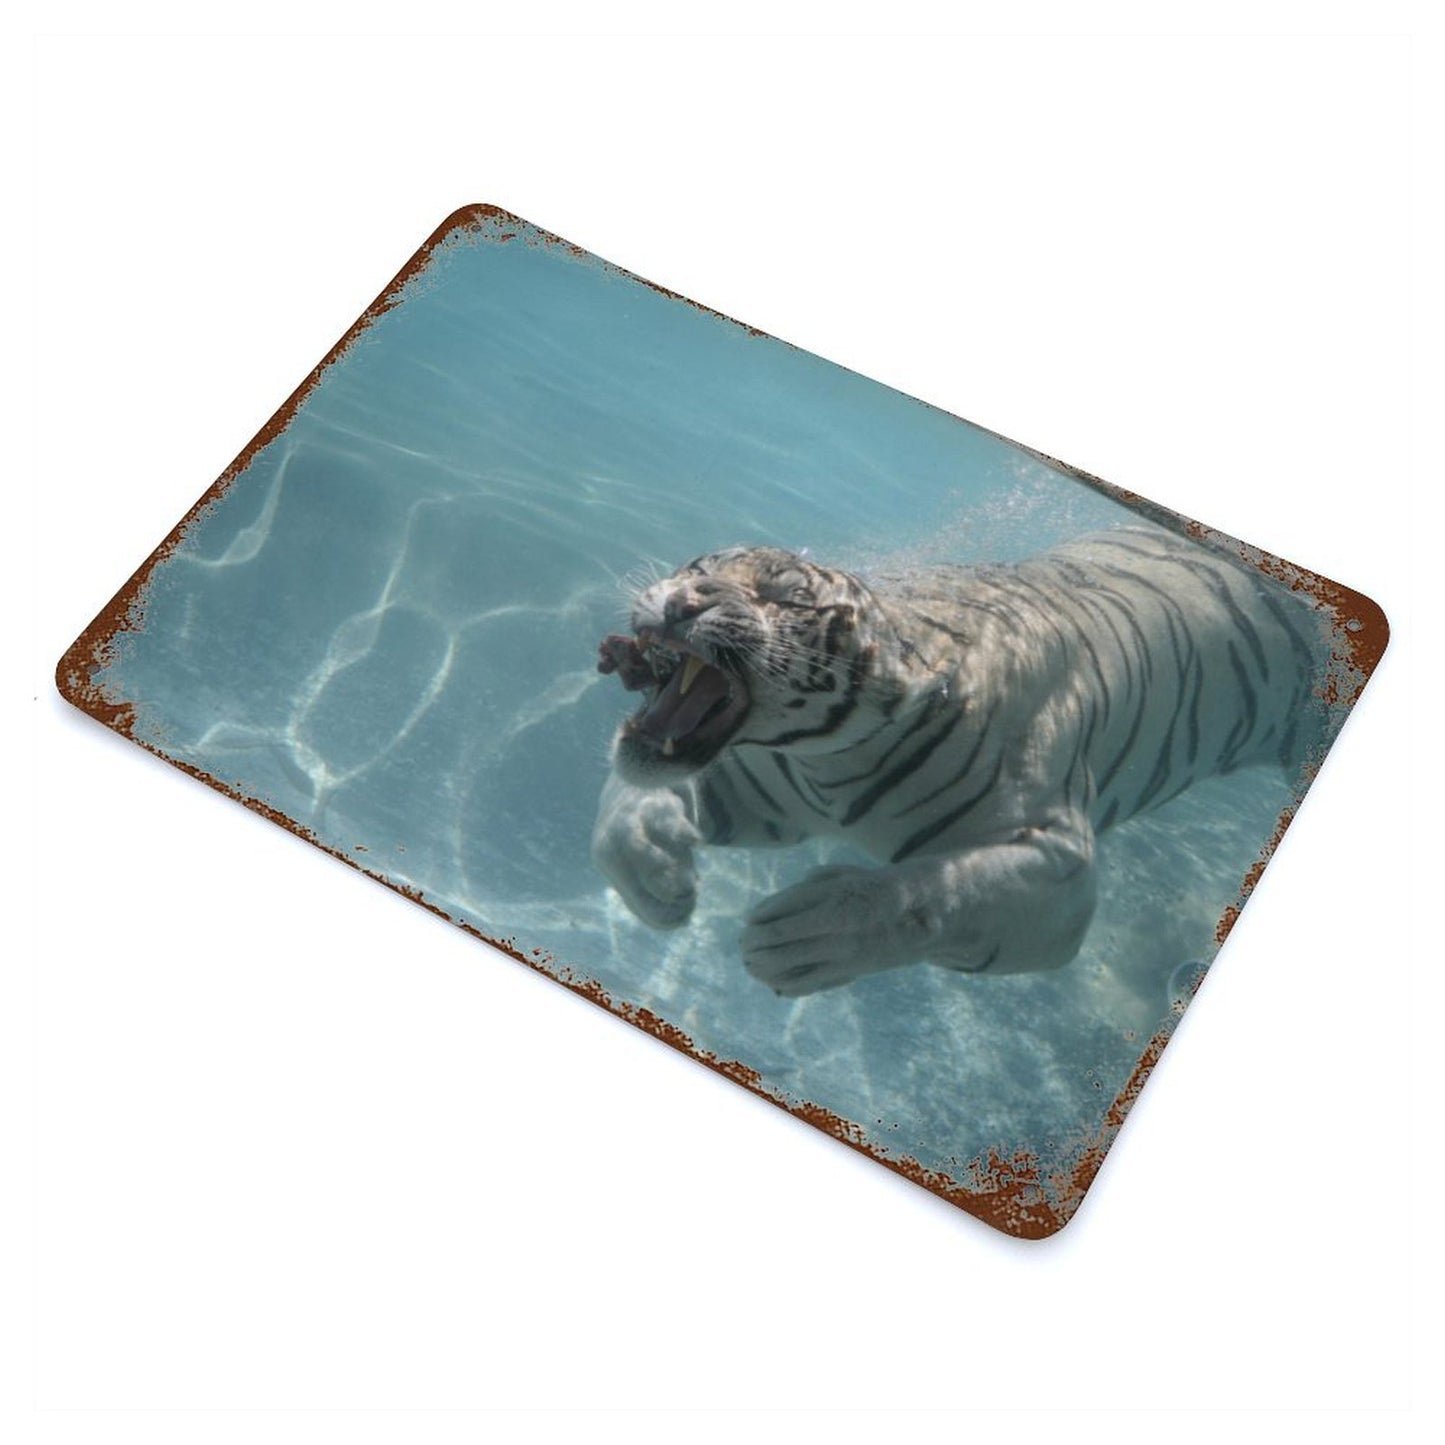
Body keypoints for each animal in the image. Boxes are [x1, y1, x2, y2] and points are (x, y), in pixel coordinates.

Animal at [591, 526, 1326, 997]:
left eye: (786, 598)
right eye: (699, 567)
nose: (683, 601)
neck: (832, 760)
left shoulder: (1062, 875)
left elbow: (935, 894)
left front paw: (811, 932)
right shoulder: (763, 789)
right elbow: (626, 803)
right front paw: (654, 865)